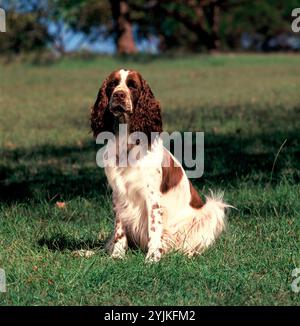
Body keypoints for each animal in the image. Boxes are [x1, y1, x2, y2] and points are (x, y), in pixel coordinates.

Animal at [90, 69, 229, 262]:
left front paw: (153, 257)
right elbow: (119, 229)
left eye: (132, 85)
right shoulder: (119, 195)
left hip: (212, 209)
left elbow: (154, 228)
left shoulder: (152, 197)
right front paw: (117, 255)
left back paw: (189, 253)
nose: (118, 94)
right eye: (112, 84)